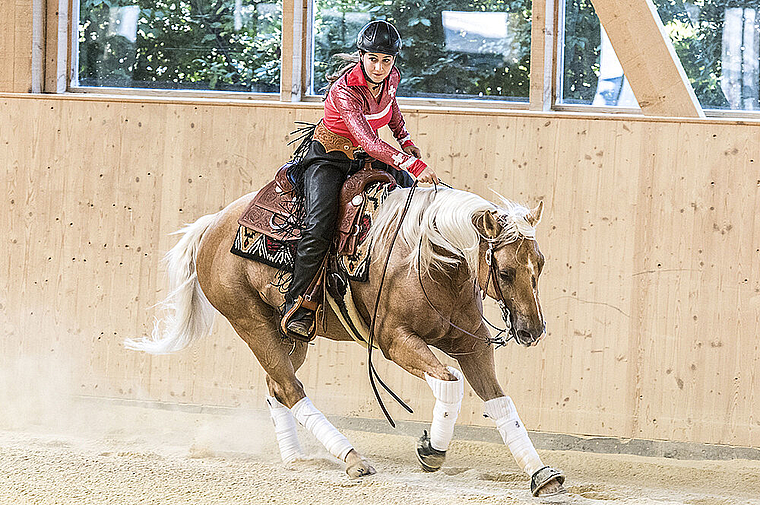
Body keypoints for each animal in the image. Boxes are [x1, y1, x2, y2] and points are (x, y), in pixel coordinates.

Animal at [124, 183, 564, 494]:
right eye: (505, 271)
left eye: (540, 263)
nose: (532, 330)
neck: (429, 259)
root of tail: (213, 223)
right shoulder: (395, 342)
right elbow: (449, 385)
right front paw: (432, 451)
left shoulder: (472, 345)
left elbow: (501, 404)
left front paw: (541, 474)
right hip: (251, 324)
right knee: (291, 388)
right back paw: (352, 458)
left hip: (290, 335)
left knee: (278, 386)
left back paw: (296, 458)